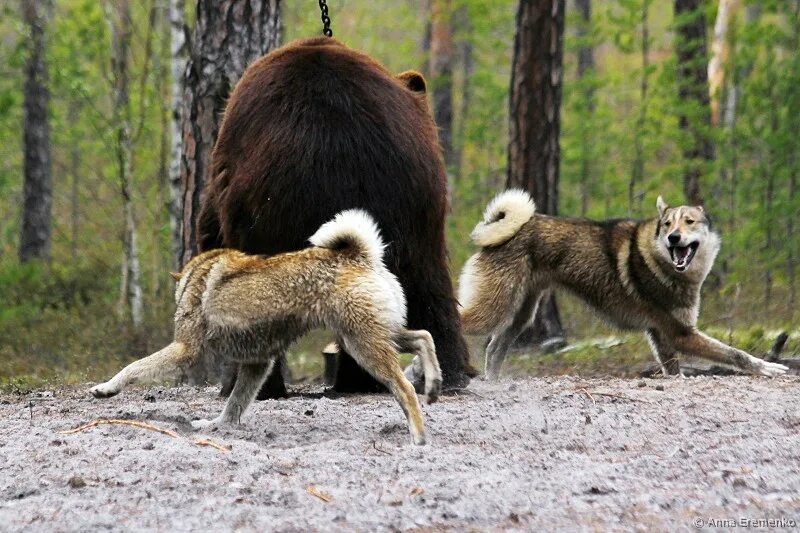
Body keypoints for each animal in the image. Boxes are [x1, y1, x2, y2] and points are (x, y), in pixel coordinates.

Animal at [95, 210, 444, 442]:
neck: (198, 276)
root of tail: (358, 256)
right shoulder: (257, 364)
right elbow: (234, 404)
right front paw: (218, 426)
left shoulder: (185, 350)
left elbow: (134, 367)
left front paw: (107, 387)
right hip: (373, 337)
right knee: (424, 337)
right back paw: (433, 384)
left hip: (364, 347)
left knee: (404, 388)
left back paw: (418, 435)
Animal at [456, 190, 788, 378]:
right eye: (668, 224)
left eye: (689, 222)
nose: (673, 238)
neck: (663, 263)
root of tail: (495, 233)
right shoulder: (682, 334)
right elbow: (736, 354)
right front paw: (768, 367)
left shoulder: (660, 335)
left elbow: (674, 370)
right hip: (493, 308)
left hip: (521, 314)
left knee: (494, 349)